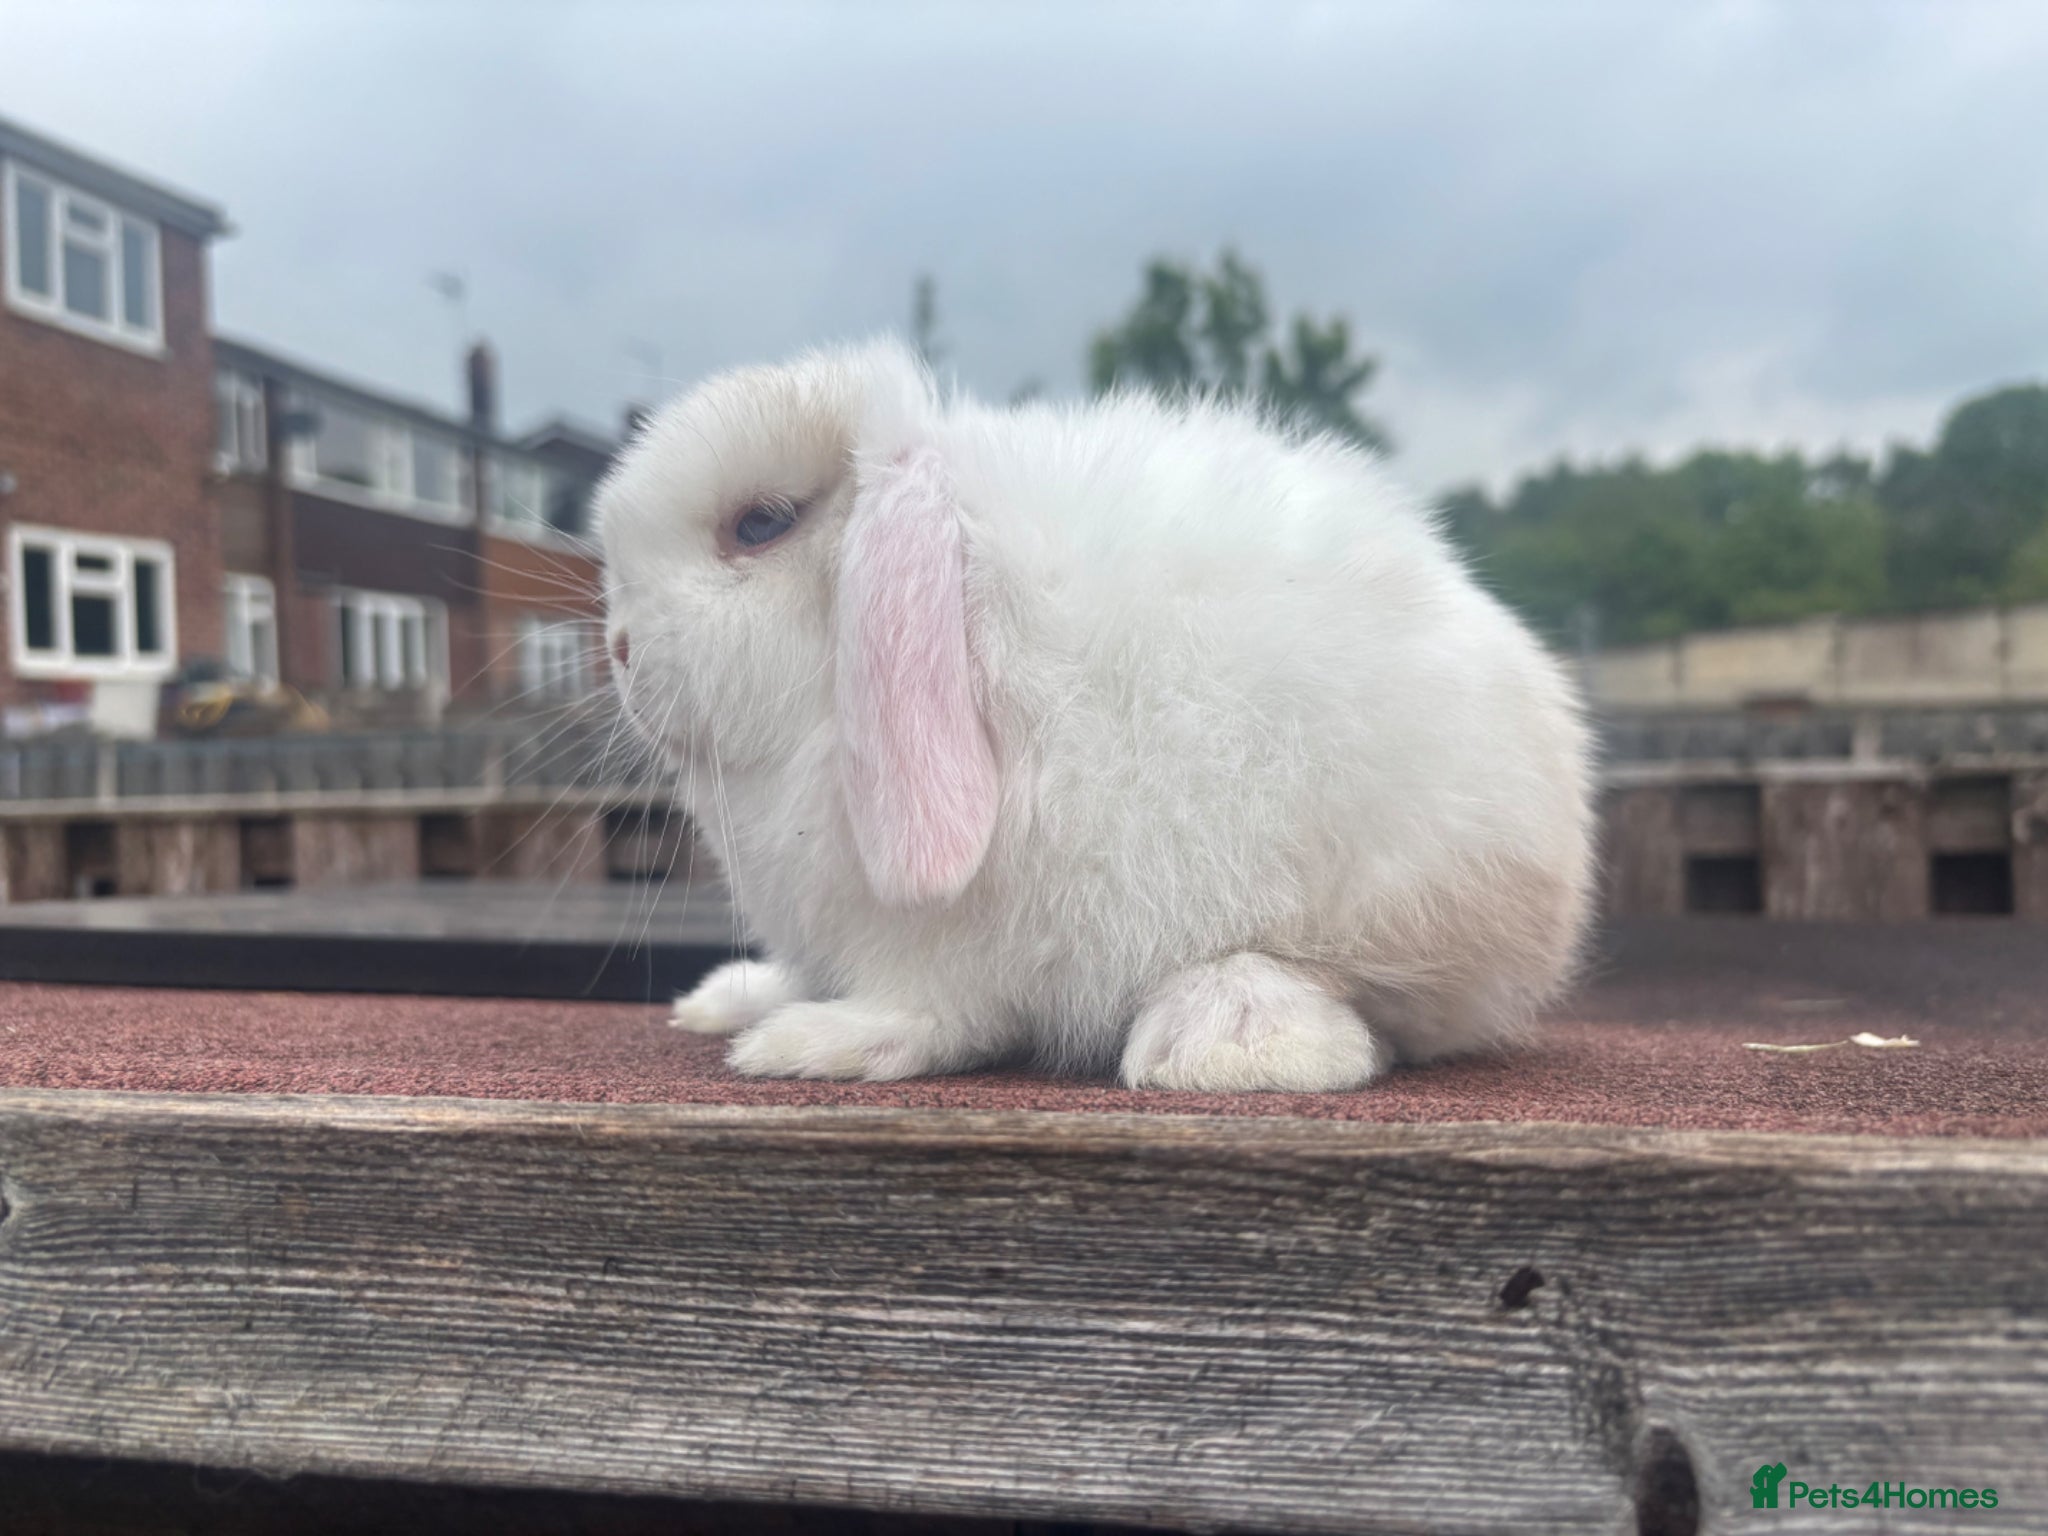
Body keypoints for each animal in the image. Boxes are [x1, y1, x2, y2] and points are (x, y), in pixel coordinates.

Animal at [597, 338, 1595, 1092]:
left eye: (759, 525)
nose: (619, 650)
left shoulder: (938, 945)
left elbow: (930, 1013)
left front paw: (811, 1045)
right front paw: (744, 1005)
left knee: (1338, 1002)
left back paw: (1221, 1042)